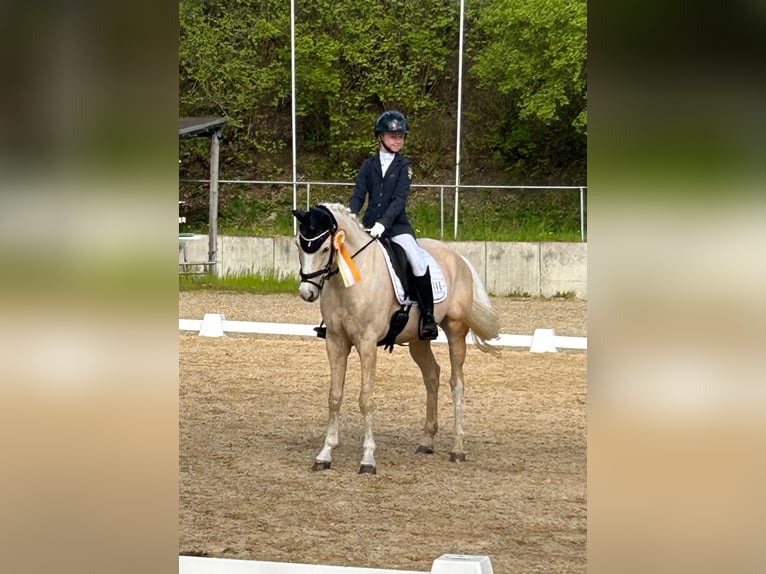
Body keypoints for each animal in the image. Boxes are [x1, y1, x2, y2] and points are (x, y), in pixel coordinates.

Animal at [292, 205, 500, 474]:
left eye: (326, 248)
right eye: (299, 244)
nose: (307, 293)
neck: (349, 280)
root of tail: (457, 257)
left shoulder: (367, 343)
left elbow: (366, 399)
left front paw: (368, 459)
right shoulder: (336, 342)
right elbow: (334, 396)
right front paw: (325, 454)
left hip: (455, 329)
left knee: (457, 383)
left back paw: (457, 449)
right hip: (418, 340)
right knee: (432, 375)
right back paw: (426, 442)